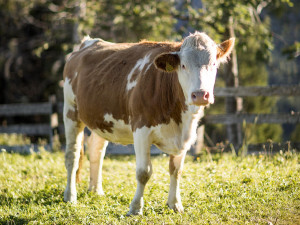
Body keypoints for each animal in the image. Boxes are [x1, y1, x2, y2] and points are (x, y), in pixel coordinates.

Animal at [62, 30, 234, 215]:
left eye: (214, 64)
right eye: (183, 65)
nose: (201, 94)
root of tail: (87, 43)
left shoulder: (185, 137)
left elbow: (176, 170)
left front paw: (175, 204)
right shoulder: (141, 130)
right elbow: (144, 172)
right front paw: (135, 208)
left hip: (101, 119)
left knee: (96, 151)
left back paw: (96, 190)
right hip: (70, 111)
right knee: (72, 155)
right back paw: (70, 196)